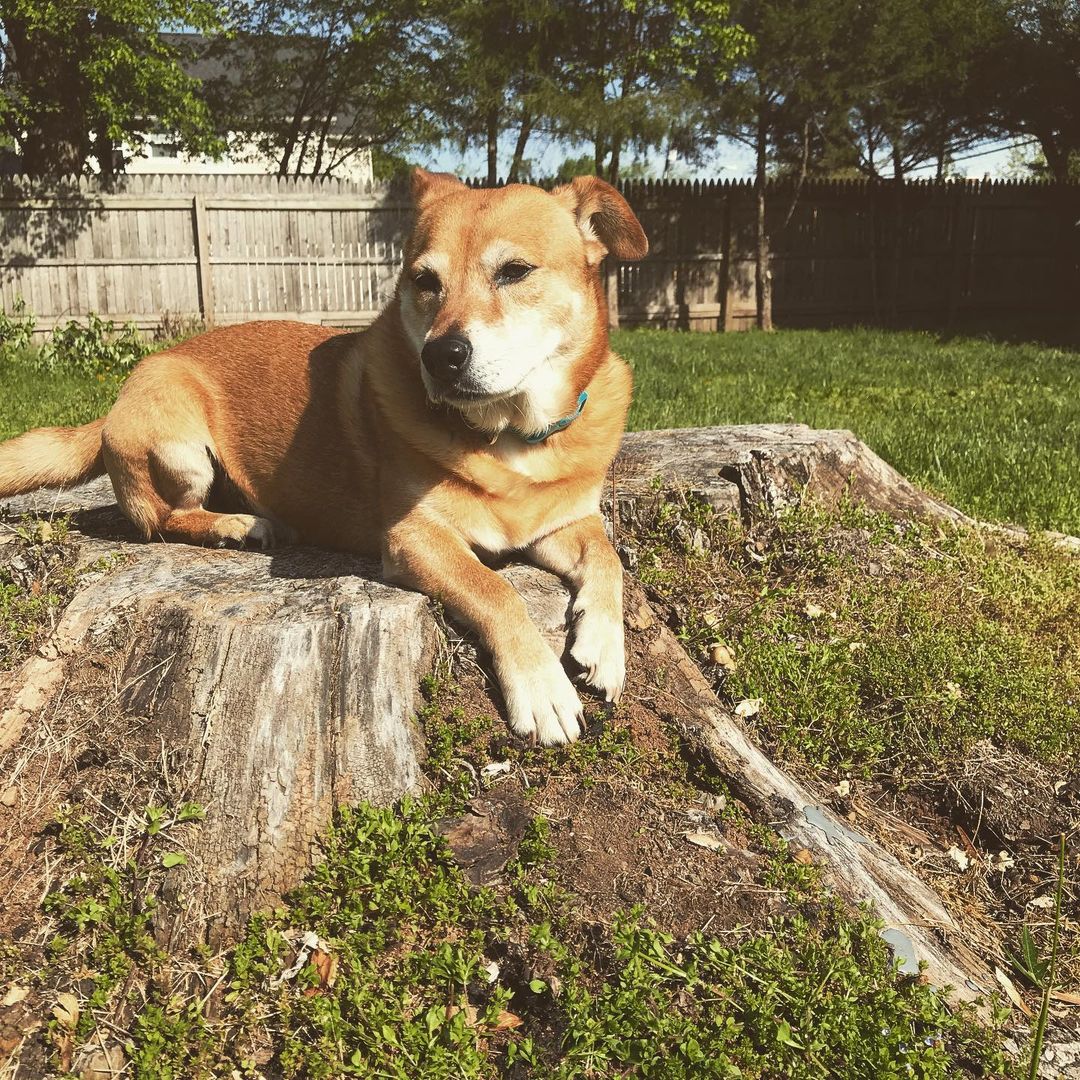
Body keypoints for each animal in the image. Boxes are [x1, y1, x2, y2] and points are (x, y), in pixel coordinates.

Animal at [0, 170, 648, 743]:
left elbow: (607, 556)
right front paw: (541, 687)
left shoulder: (560, 522)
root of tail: (114, 403)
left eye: (515, 272)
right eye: (425, 281)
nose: (440, 356)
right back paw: (236, 524)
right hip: (178, 439)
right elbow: (495, 589)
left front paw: (604, 645)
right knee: (160, 520)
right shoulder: (414, 537)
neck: (511, 433)